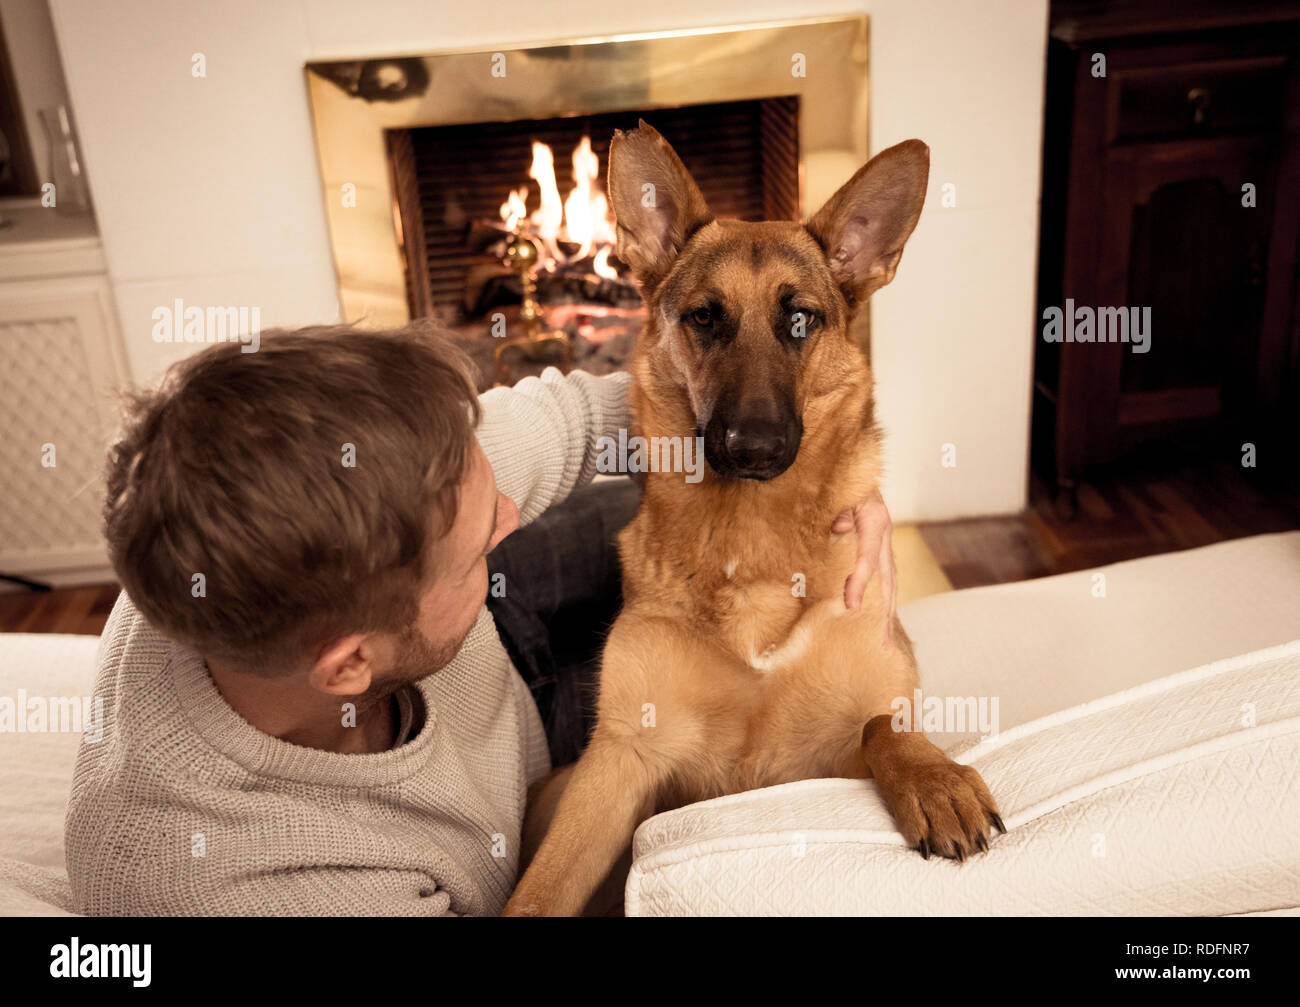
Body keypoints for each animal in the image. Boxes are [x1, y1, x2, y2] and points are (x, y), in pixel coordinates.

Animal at [501, 122, 998, 919]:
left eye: (800, 320)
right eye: (706, 316)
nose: (755, 445)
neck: (750, 535)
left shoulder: (842, 747)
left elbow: (883, 725)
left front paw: (934, 778)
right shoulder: (616, 765)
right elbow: (539, 894)